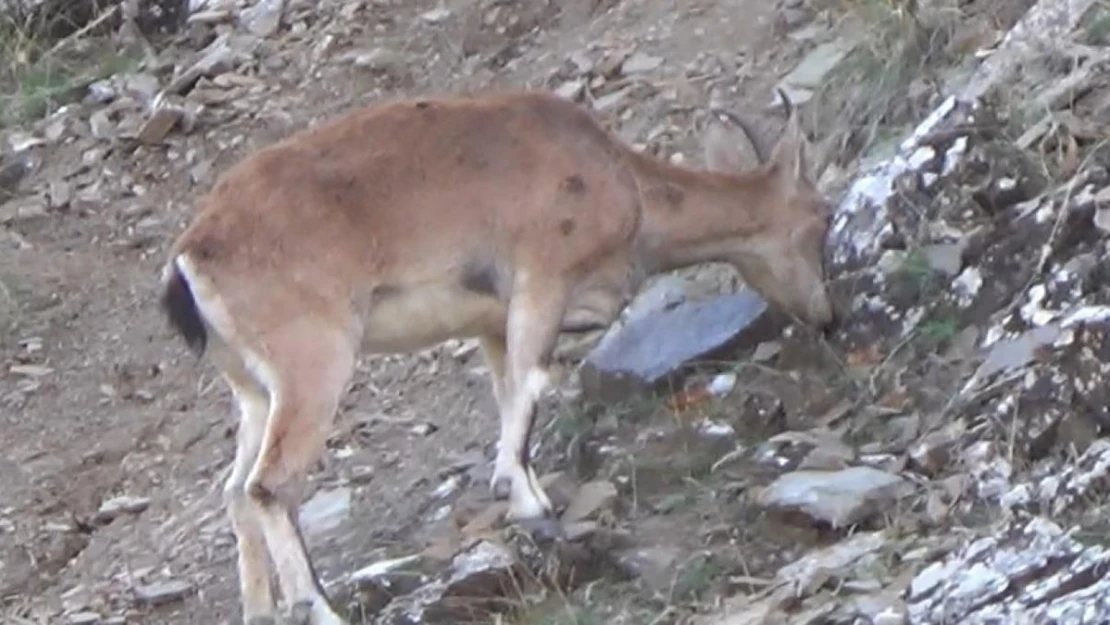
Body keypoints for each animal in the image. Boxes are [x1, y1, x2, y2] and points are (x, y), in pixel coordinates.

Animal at [158, 89, 834, 625]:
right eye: (821, 218)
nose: (828, 315)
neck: (624, 184)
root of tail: (192, 258)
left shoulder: (490, 323)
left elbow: (509, 394)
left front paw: (527, 494)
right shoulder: (542, 282)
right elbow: (533, 385)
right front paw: (530, 504)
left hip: (253, 388)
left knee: (235, 490)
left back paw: (260, 609)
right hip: (313, 364)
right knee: (270, 485)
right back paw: (318, 607)